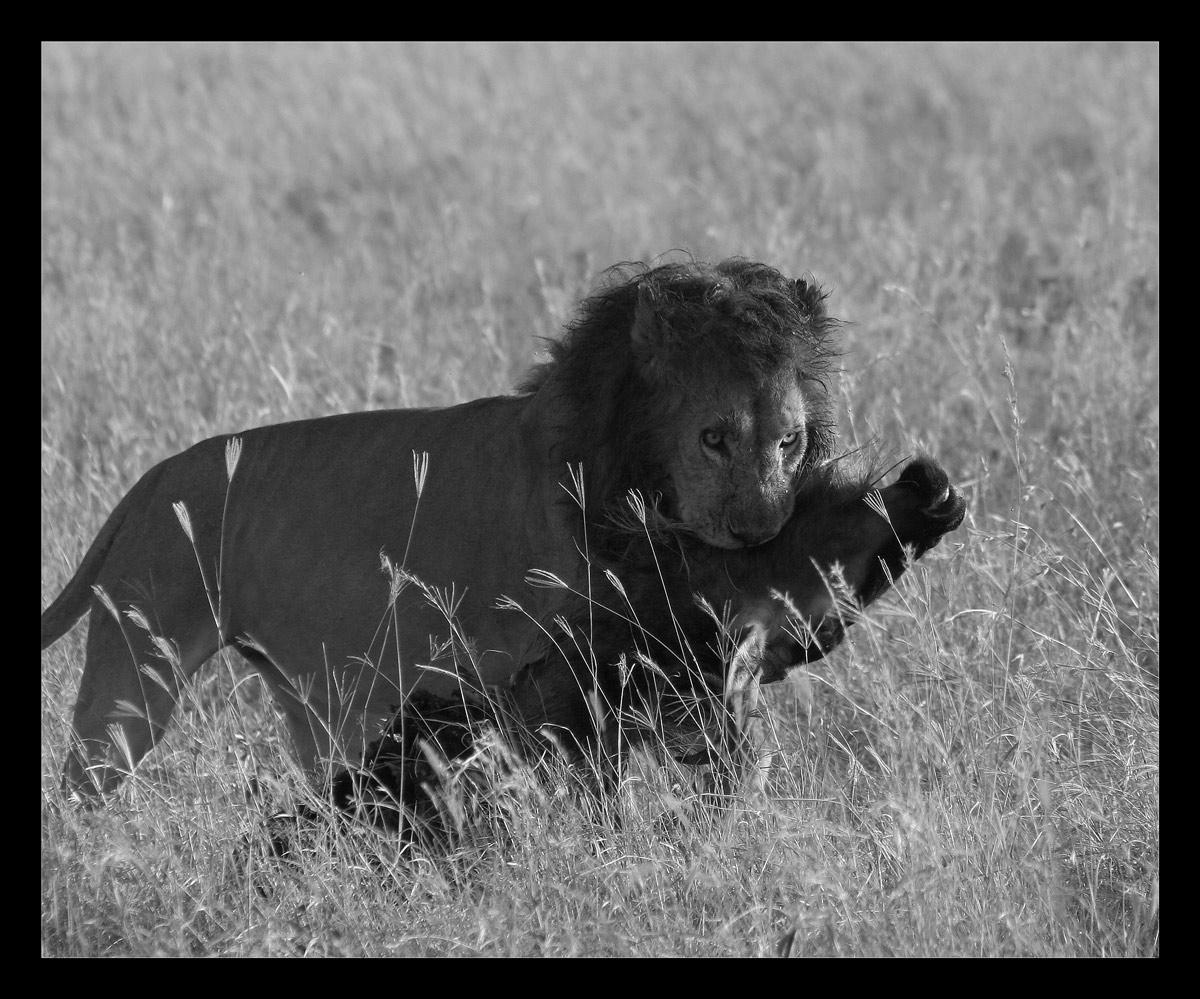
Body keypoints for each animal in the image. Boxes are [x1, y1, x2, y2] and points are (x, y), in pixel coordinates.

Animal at [42, 259, 840, 802]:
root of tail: (149, 484)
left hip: (311, 701)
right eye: (713, 438)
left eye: (790, 440)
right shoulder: (571, 676)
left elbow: (733, 759)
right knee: (81, 783)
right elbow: (601, 790)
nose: (760, 528)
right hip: (137, 671)